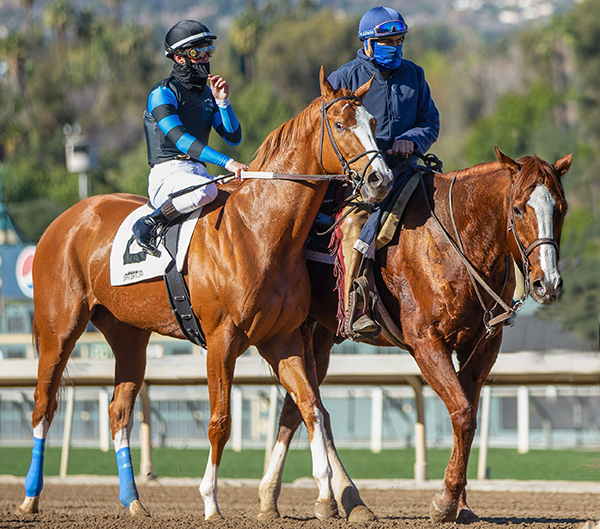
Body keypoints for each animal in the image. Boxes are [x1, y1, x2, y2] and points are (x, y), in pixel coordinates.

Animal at [17, 70, 394, 520]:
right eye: (340, 125)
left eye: (372, 123)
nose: (381, 179)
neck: (258, 231)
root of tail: (66, 220)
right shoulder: (221, 340)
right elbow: (220, 421)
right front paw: (211, 501)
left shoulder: (281, 339)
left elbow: (311, 409)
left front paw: (323, 494)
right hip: (59, 329)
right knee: (43, 404)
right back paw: (30, 496)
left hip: (128, 336)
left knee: (119, 410)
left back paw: (133, 501)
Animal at [258, 147, 572, 520]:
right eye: (519, 208)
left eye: (561, 208)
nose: (547, 283)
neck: (455, 241)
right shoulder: (426, 344)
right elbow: (463, 415)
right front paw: (445, 502)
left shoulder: (481, 347)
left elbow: (468, 415)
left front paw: (461, 504)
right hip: (298, 330)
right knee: (304, 405)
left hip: (321, 335)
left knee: (299, 406)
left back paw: (328, 499)